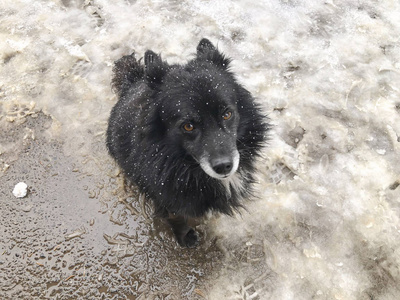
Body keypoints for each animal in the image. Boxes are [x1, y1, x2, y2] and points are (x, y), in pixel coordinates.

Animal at [107, 38, 268, 247]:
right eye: (188, 126)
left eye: (227, 114)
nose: (224, 166)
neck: (187, 166)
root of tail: (133, 81)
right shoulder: (167, 198)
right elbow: (176, 217)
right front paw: (185, 237)